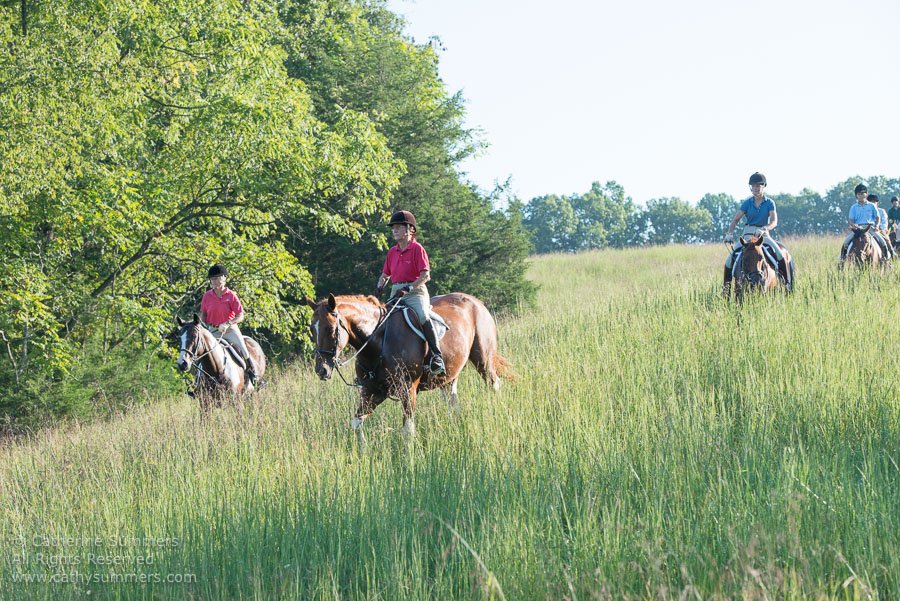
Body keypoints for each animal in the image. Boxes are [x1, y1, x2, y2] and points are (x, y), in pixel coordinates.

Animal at [304, 290, 510, 446]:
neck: (378, 341)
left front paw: (408, 462)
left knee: (493, 383)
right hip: (449, 376)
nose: (321, 370)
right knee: (453, 402)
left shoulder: (407, 390)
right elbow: (356, 424)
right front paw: (363, 453)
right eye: (312, 329)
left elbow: (407, 431)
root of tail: (475, 301)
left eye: (330, 329)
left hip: (483, 359)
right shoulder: (371, 391)